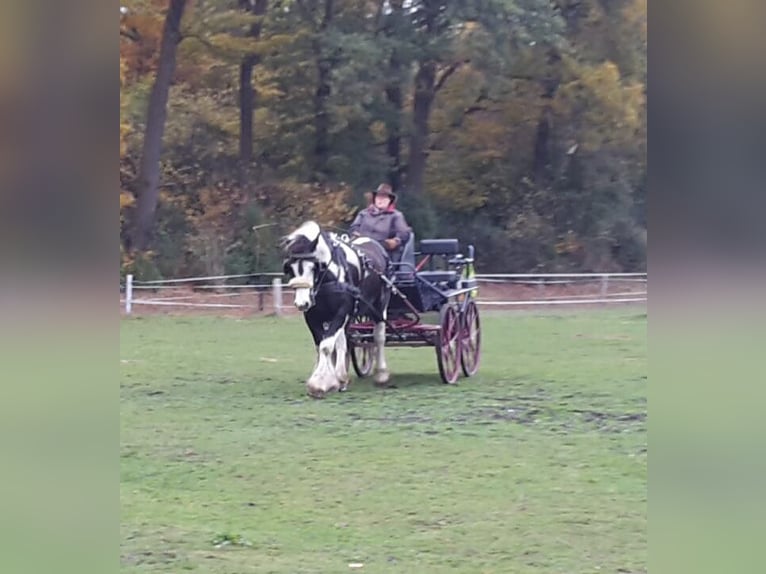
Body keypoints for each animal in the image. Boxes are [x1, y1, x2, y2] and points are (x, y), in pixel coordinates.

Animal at [280, 222, 392, 400]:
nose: (302, 303)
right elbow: (323, 345)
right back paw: (341, 376)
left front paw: (319, 383)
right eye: (290, 269)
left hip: (379, 308)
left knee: (379, 337)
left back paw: (381, 374)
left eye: (313, 267)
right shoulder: (312, 317)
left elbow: (326, 346)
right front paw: (332, 380)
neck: (329, 278)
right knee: (343, 341)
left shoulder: (341, 312)